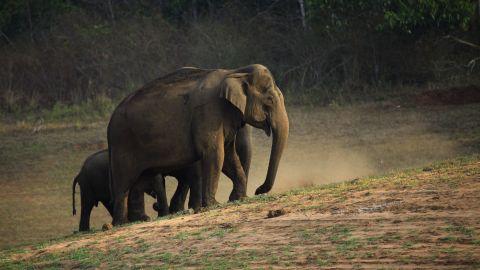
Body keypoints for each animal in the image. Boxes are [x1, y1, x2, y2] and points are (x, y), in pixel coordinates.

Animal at [108, 64, 288, 225]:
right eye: (270, 101)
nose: (258, 190)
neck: (235, 71)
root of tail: (110, 123)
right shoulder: (208, 113)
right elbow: (215, 153)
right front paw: (214, 204)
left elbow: (229, 156)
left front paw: (238, 198)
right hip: (122, 146)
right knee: (123, 185)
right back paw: (120, 223)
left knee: (139, 182)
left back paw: (138, 220)